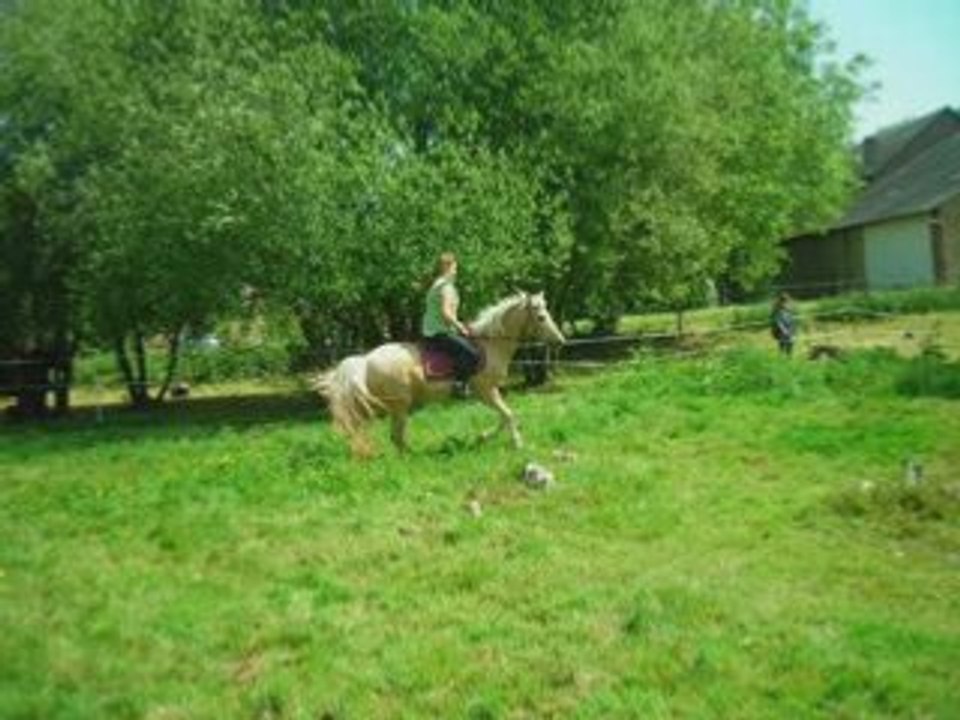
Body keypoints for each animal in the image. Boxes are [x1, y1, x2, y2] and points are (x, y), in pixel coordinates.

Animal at [315, 292, 565, 454]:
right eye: (541, 317)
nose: (560, 340)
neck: (491, 344)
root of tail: (365, 360)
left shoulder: (489, 392)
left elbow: (504, 416)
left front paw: (483, 437)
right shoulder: (485, 390)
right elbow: (508, 415)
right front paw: (516, 444)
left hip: (378, 403)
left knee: (358, 425)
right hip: (398, 404)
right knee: (393, 436)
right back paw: (408, 457)